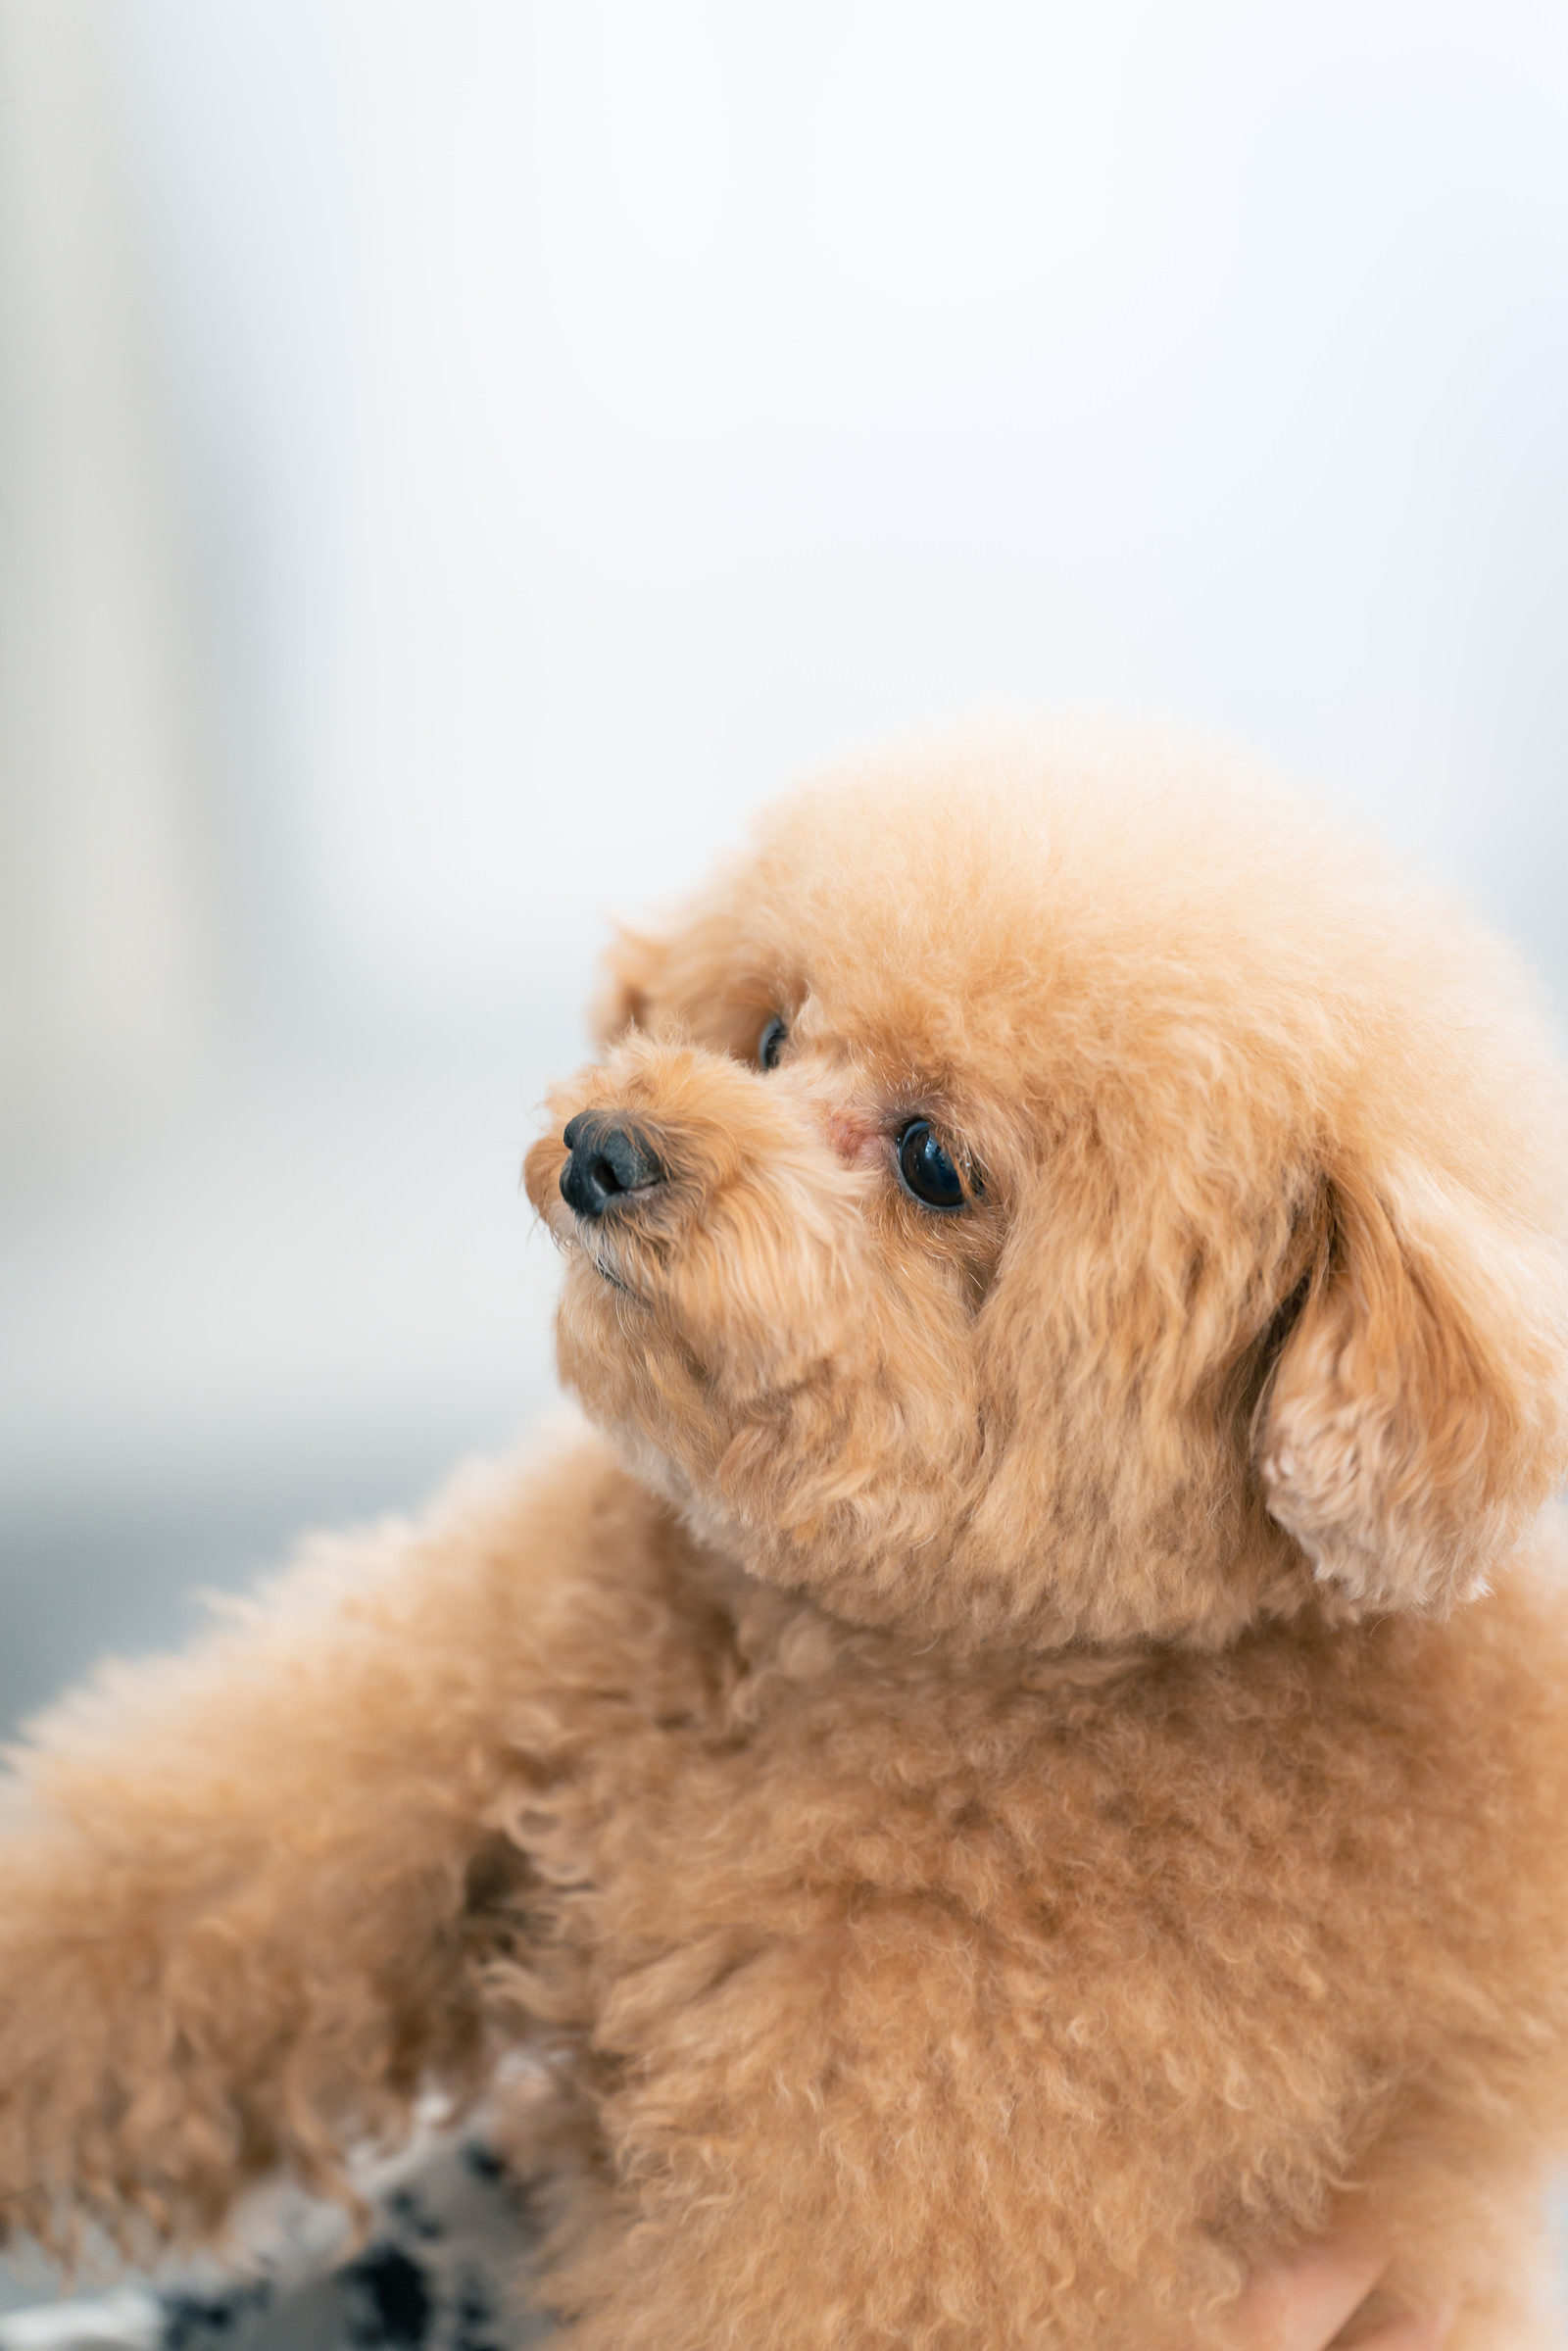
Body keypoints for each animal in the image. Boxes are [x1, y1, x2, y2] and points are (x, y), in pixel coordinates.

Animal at [3, 723, 1568, 2341]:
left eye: (936, 1160)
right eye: (768, 1033)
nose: (605, 1146)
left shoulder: (899, 2174)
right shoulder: (432, 1707)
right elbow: (169, 1889)